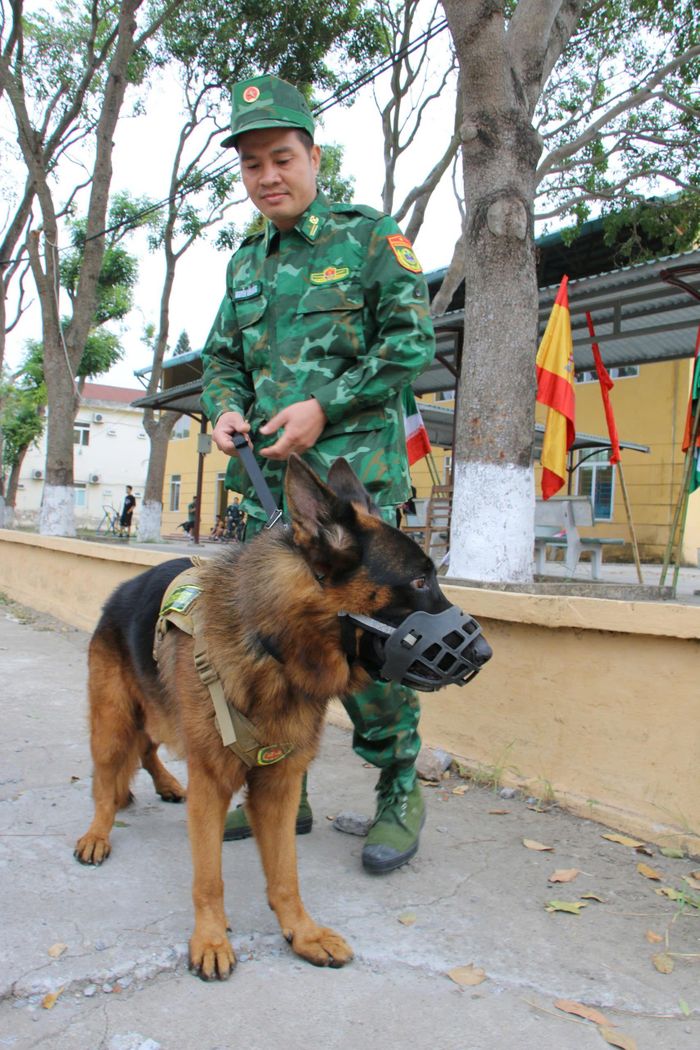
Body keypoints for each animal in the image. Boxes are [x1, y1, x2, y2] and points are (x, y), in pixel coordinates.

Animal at [75, 455, 482, 978]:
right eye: (418, 581)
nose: (485, 652)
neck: (275, 648)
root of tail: (120, 590)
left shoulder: (280, 786)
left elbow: (287, 873)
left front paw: (302, 933)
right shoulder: (211, 786)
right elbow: (209, 878)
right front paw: (210, 939)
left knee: (147, 747)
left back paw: (164, 784)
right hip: (112, 723)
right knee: (106, 783)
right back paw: (97, 832)